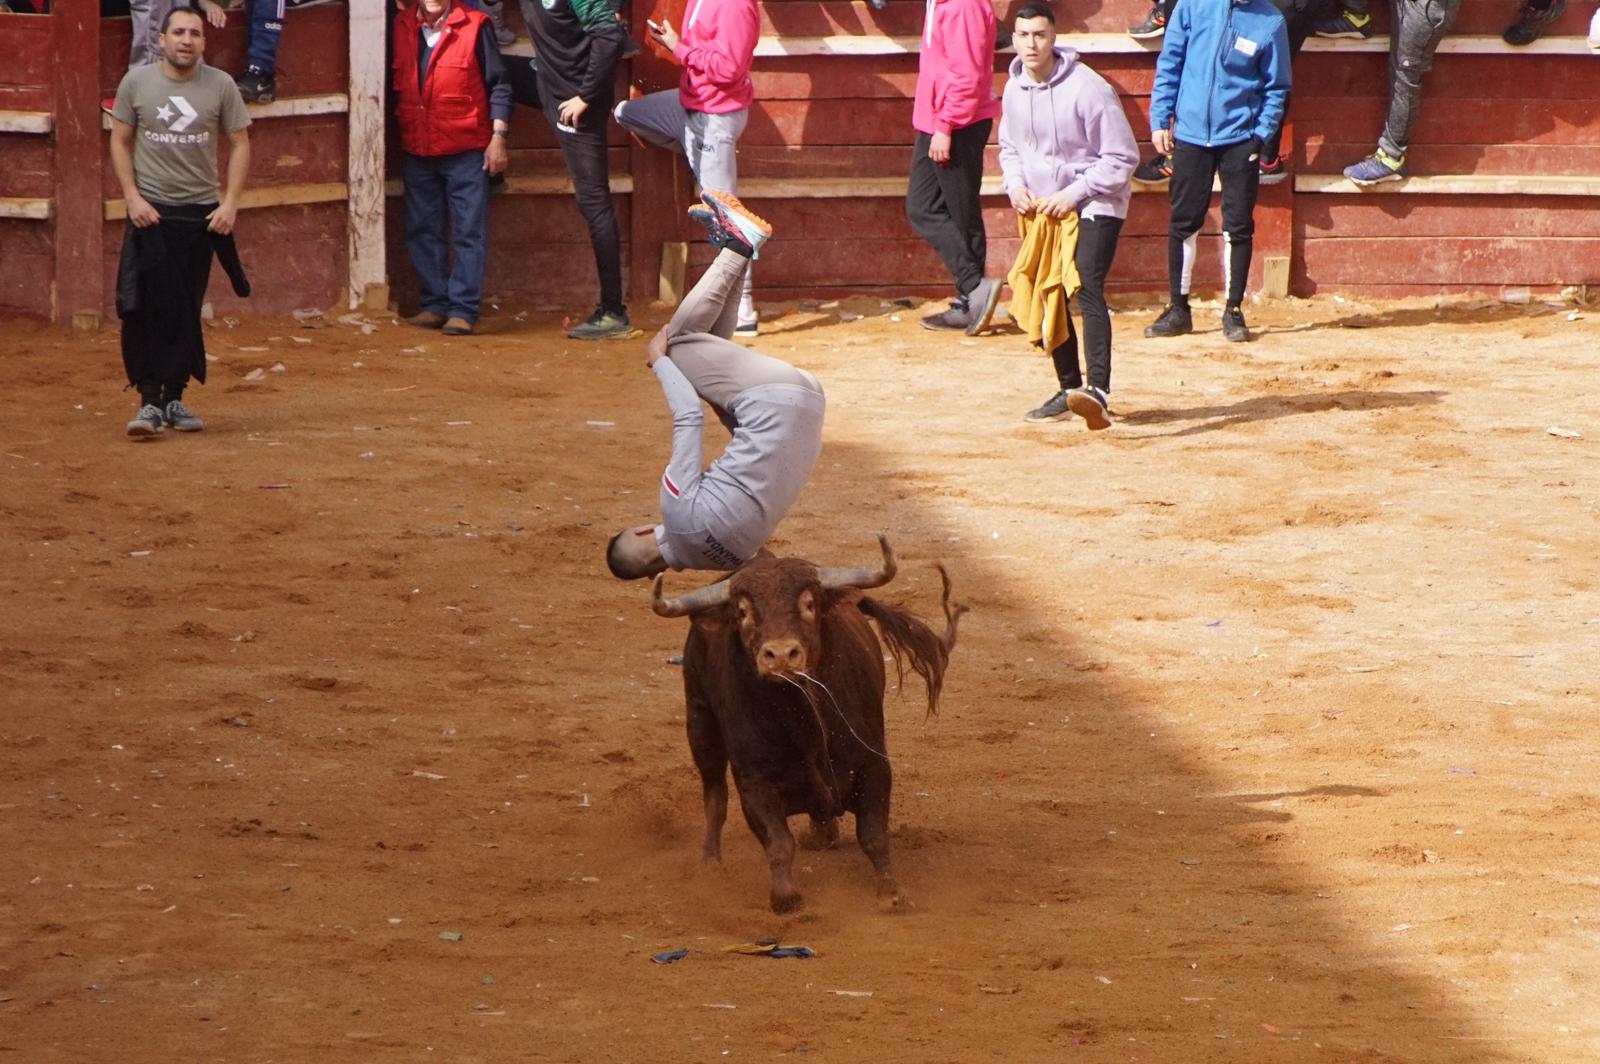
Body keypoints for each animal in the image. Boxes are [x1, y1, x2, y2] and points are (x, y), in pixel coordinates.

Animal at [649, 534, 960, 908]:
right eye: (742, 612)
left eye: (809, 604)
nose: (781, 655)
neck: (802, 716)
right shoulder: (754, 780)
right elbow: (778, 842)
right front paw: (786, 898)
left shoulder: (874, 763)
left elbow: (873, 835)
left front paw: (892, 894)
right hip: (699, 719)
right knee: (715, 795)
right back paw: (710, 864)